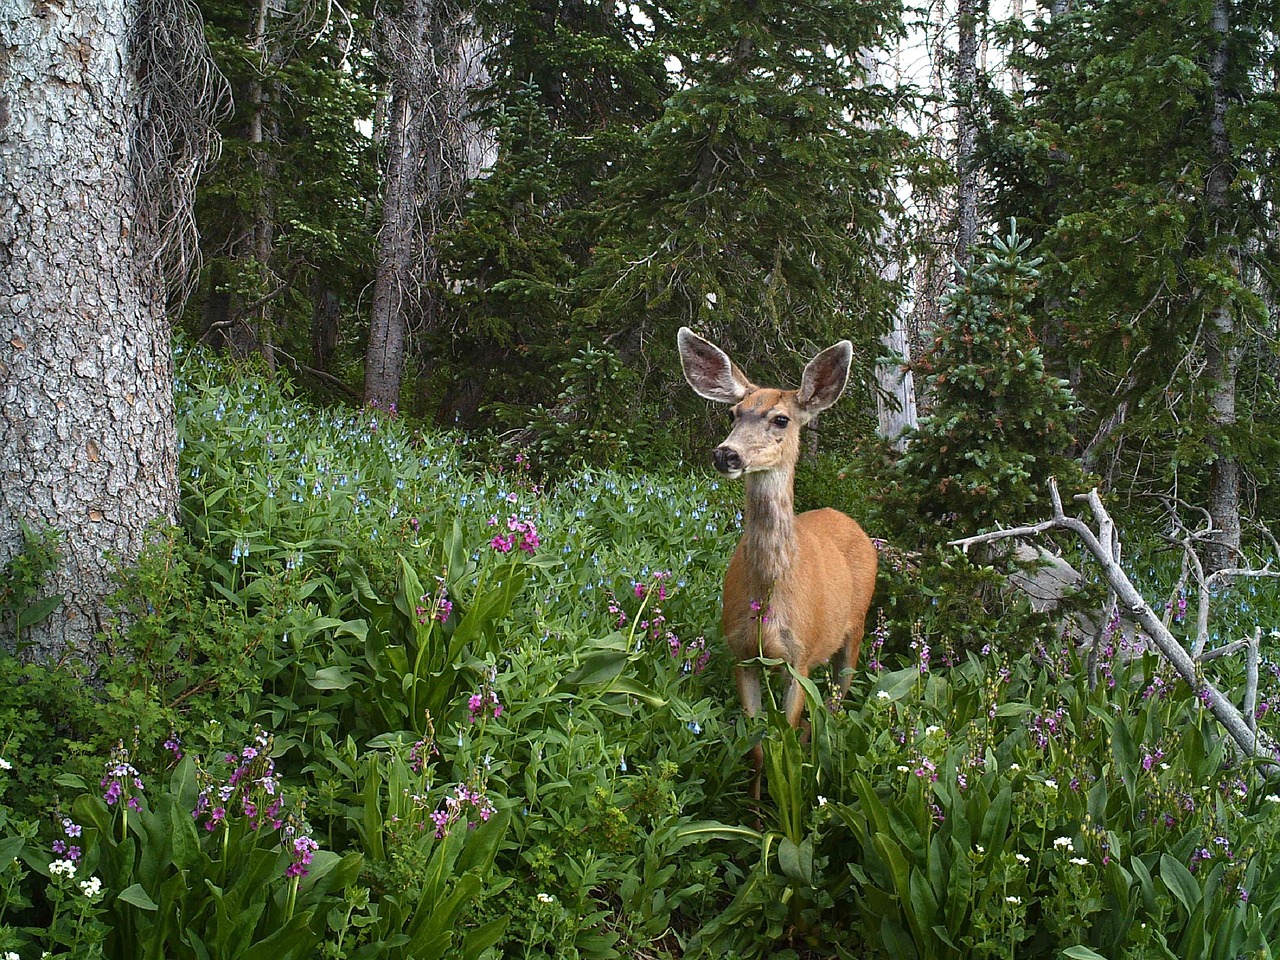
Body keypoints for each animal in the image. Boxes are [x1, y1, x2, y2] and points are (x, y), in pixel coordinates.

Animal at [680, 327, 880, 798]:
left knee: (836, 704)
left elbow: (782, 742)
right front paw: (754, 810)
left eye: (781, 419)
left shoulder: (798, 657)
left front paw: (783, 803)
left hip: (857, 627)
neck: (768, 595)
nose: (726, 454)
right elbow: (756, 748)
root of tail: (844, 516)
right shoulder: (741, 653)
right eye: (733, 413)